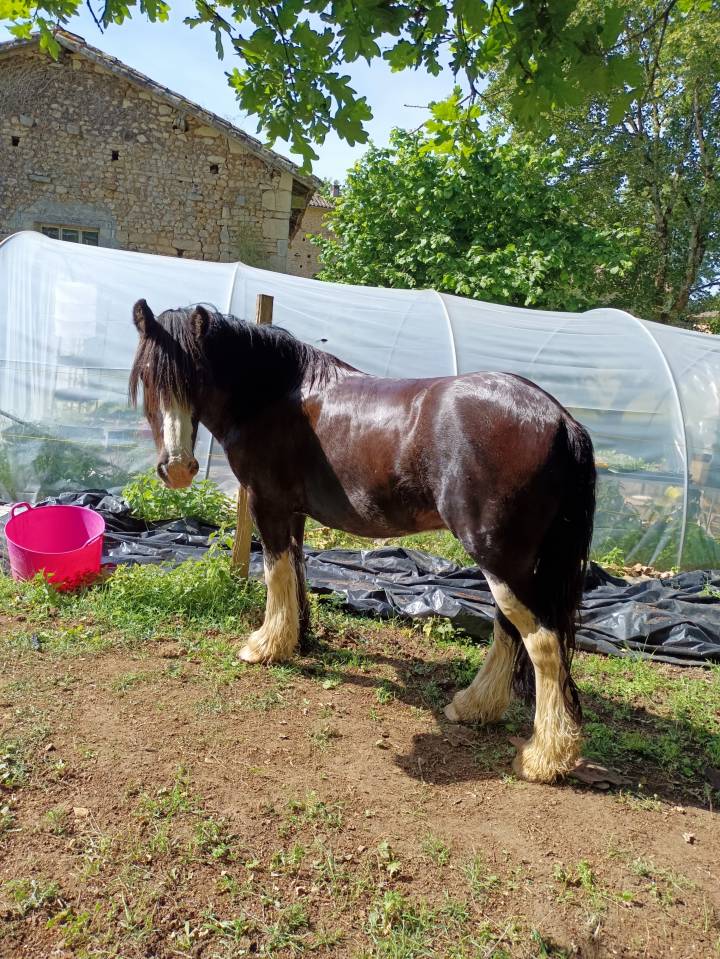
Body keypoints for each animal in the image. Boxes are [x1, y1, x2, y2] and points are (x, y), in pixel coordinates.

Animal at [129, 299, 596, 784]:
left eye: (195, 376)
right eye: (147, 376)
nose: (177, 469)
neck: (274, 394)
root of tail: (560, 420)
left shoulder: (268, 505)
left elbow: (275, 572)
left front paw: (264, 647)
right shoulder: (294, 512)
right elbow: (296, 571)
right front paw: (299, 639)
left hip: (498, 557)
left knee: (542, 642)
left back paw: (543, 757)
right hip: (508, 561)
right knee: (508, 630)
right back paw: (474, 707)